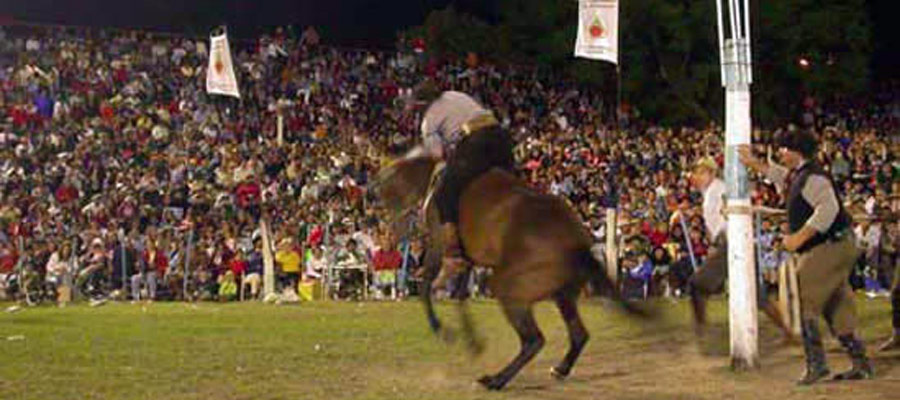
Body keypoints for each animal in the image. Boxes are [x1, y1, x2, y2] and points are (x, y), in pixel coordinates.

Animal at [372, 155, 652, 390]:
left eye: (385, 195)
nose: (395, 233)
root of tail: (577, 243)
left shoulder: (438, 246)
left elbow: (426, 286)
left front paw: (443, 331)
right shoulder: (469, 260)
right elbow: (460, 297)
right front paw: (472, 342)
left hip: (510, 287)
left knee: (534, 340)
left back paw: (496, 380)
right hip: (562, 294)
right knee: (578, 334)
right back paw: (559, 369)